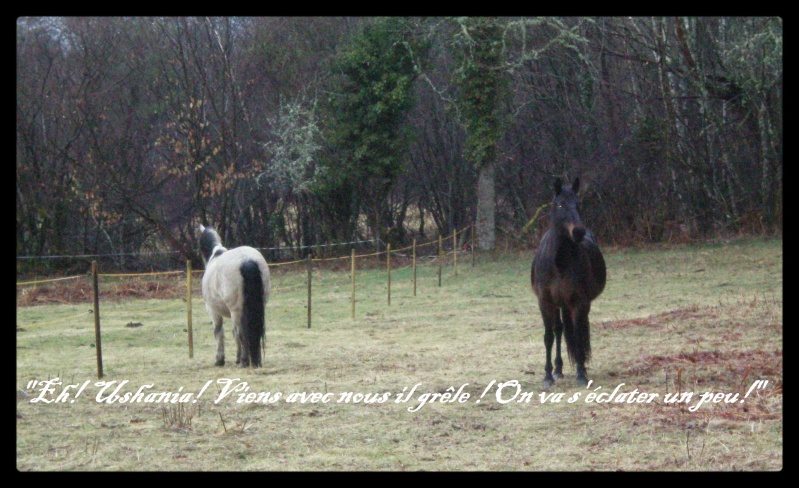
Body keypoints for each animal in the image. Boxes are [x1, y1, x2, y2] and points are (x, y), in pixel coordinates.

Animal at [200, 225, 272, 366]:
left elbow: (219, 332)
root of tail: (246, 260)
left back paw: (244, 361)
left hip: (236, 311)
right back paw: (254, 360)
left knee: (241, 332)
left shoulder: (213, 312)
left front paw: (220, 359)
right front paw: (237, 358)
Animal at [532, 177, 608, 386]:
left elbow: (578, 334)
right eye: (560, 204)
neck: (559, 263)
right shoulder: (545, 302)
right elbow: (549, 336)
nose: (579, 231)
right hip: (560, 304)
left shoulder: (579, 302)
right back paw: (558, 370)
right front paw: (548, 376)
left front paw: (581, 374)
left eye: (578, 204)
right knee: (559, 330)